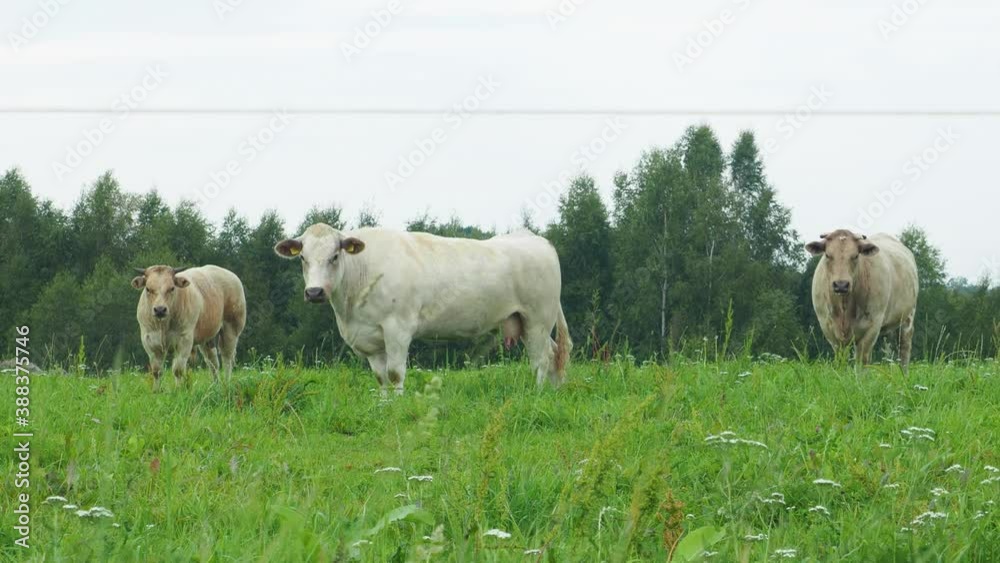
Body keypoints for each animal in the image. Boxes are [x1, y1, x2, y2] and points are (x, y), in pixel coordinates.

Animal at [274, 224, 572, 394]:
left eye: (335, 256)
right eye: (303, 258)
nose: (314, 292)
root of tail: (537, 239)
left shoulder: (397, 328)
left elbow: (395, 373)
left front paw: (398, 406)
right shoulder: (370, 338)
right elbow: (380, 377)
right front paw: (384, 407)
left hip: (538, 318)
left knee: (541, 358)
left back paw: (537, 393)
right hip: (524, 321)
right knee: (554, 353)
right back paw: (554, 391)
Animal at [806, 230, 919, 372]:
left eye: (855, 256)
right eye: (827, 255)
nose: (841, 285)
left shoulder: (872, 326)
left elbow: (862, 363)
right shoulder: (827, 327)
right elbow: (841, 360)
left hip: (907, 318)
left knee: (904, 350)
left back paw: (904, 375)